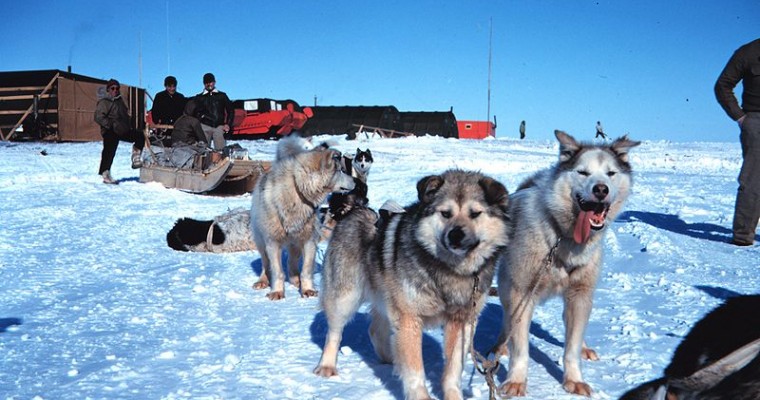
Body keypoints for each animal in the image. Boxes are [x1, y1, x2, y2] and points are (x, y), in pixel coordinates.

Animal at [251, 141, 354, 300]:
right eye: (341, 171)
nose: (356, 181)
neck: (297, 191)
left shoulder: (309, 241)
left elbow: (306, 270)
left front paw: (307, 290)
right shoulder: (272, 242)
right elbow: (277, 271)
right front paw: (277, 291)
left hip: (296, 243)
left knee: (291, 262)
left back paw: (295, 280)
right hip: (261, 241)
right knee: (266, 263)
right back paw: (263, 280)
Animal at [312, 169, 512, 400]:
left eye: (475, 213)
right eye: (445, 213)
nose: (455, 235)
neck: (449, 270)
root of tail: (353, 210)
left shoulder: (462, 321)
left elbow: (452, 370)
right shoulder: (409, 319)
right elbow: (415, 371)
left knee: (375, 330)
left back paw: (390, 360)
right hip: (346, 297)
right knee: (335, 332)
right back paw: (327, 366)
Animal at [492, 131, 640, 396]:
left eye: (611, 173)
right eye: (582, 172)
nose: (601, 189)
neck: (562, 236)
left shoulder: (579, 295)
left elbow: (571, 348)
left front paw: (574, 379)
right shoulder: (521, 293)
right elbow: (521, 348)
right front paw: (516, 380)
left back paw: (584, 346)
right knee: (507, 318)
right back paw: (501, 345)